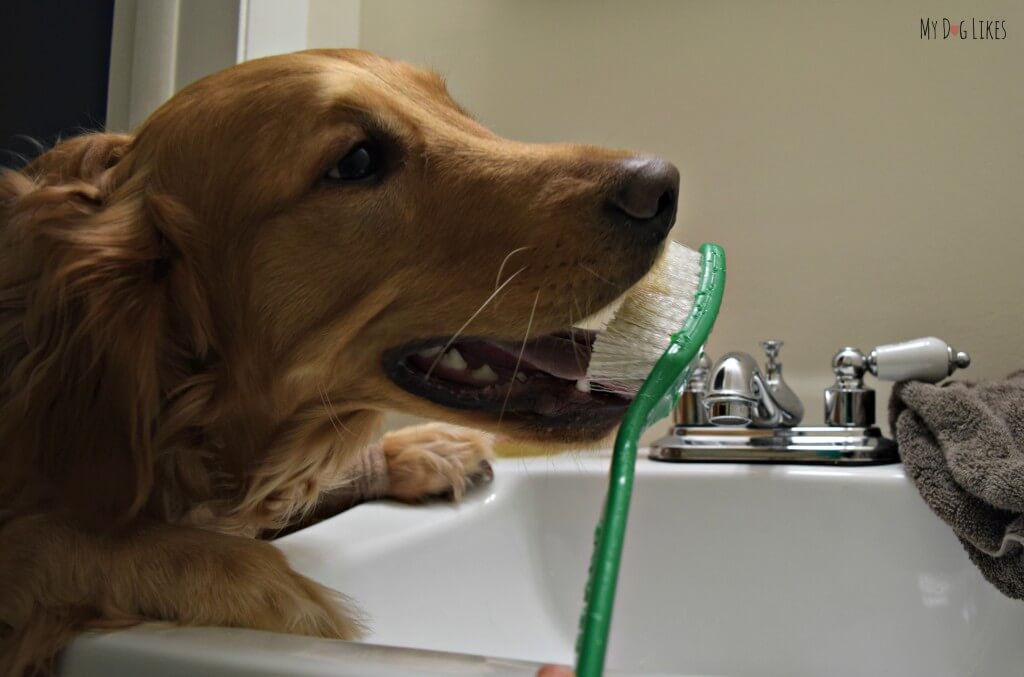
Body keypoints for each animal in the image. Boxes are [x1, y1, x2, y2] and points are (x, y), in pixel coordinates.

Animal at [0, 50, 679, 671]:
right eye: (356, 162)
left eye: (455, 111)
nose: (662, 184)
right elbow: (54, 541)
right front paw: (266, 587)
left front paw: (420, 450)